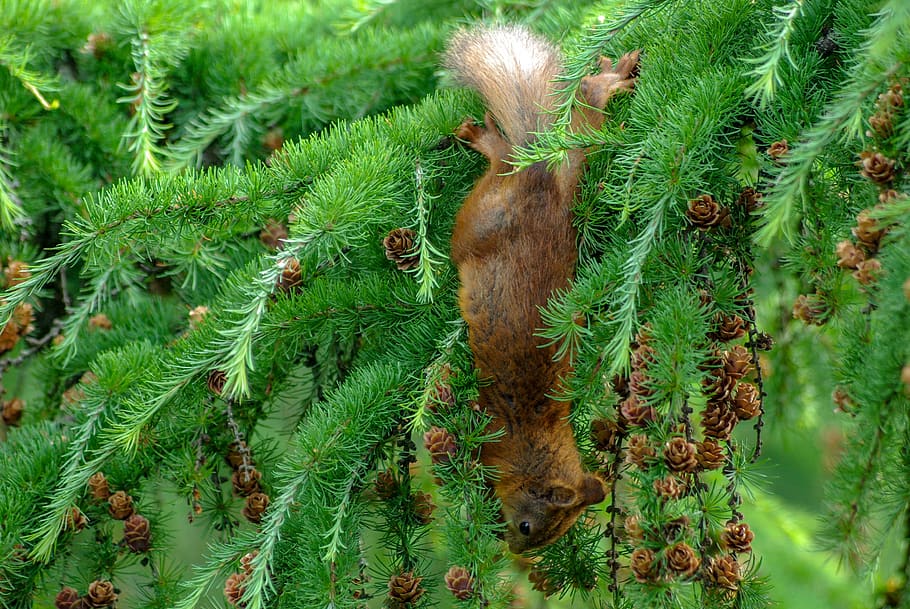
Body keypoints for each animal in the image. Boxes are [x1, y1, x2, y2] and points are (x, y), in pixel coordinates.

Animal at [444, 25, 639, 553]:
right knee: (508, 158)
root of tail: (542, 179)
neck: (537, 440)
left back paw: (608, 80)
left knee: (585, 112)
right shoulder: (496, 440)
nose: (514, 550)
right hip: (477, 219)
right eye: (531, 527)